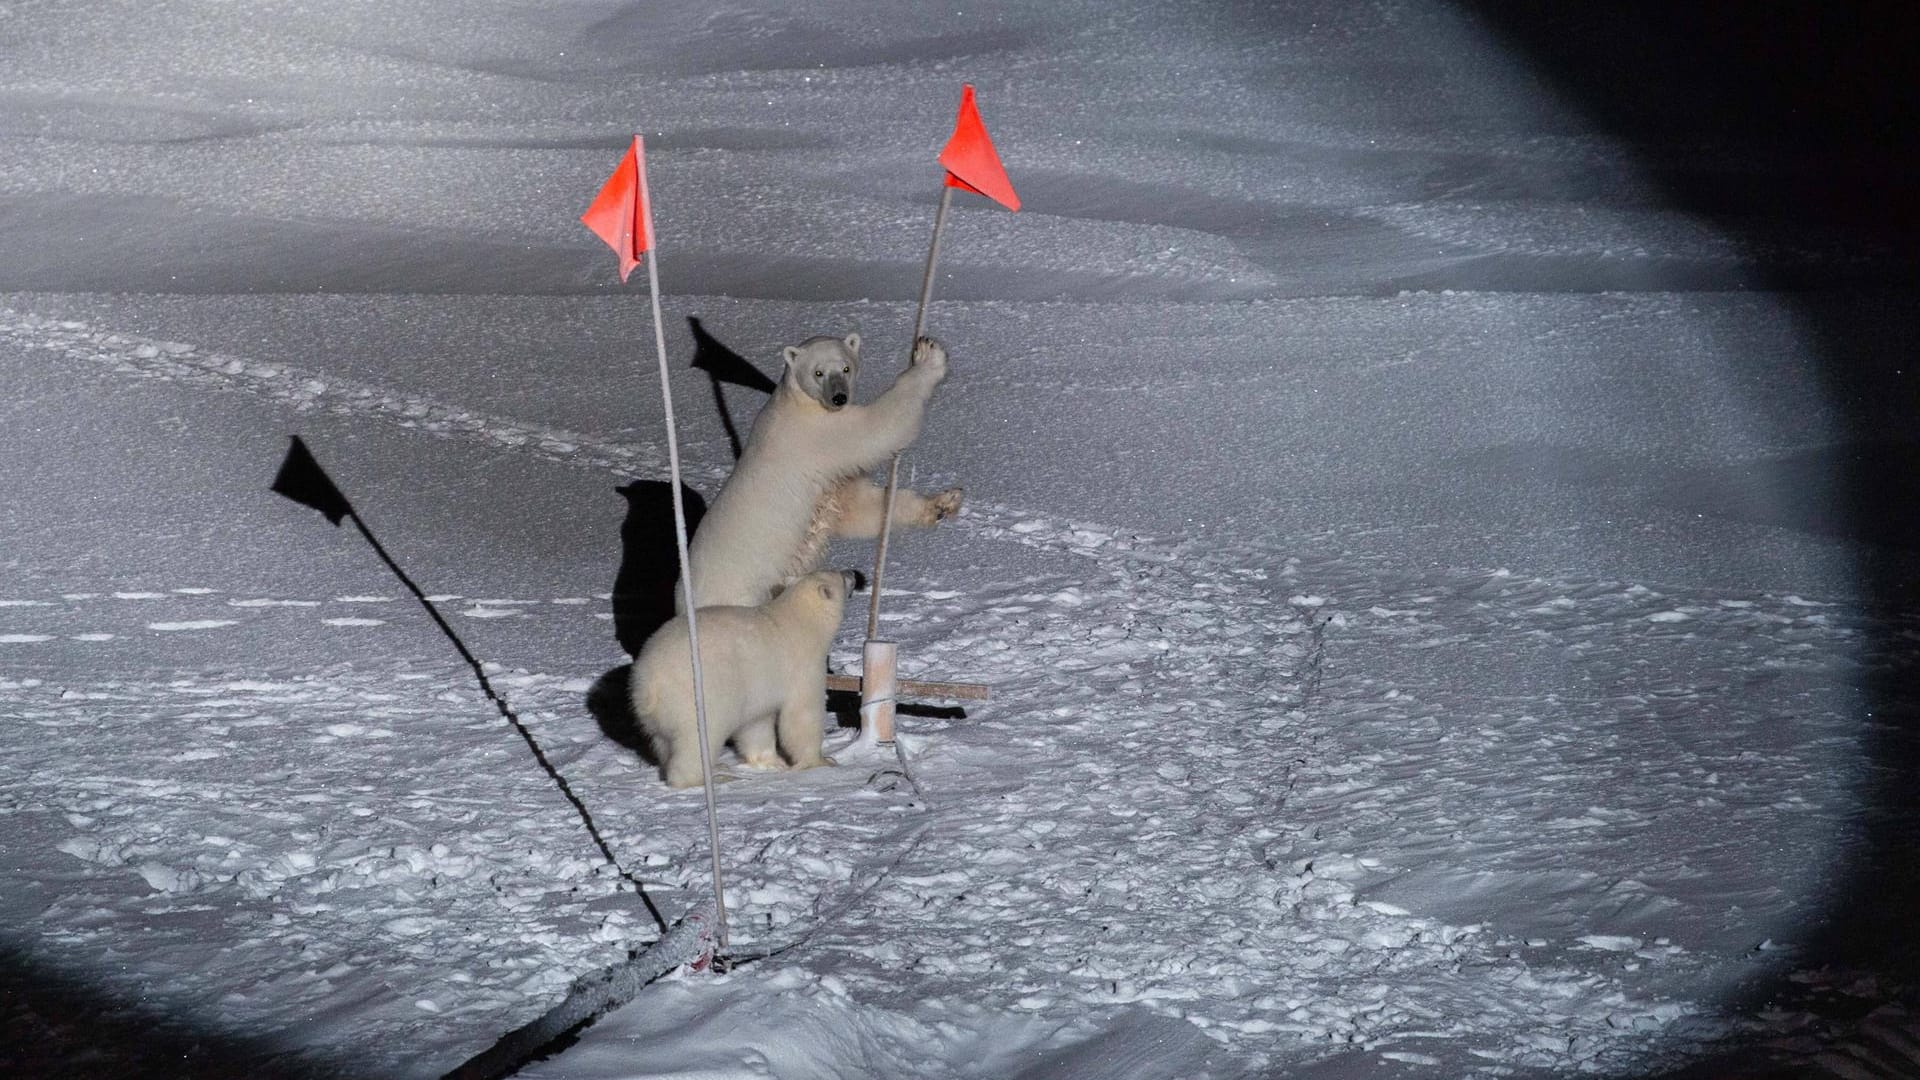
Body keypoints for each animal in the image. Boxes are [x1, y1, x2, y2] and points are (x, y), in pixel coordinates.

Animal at [629, 568, 856, 787]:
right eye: (840, 576)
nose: (853, 573)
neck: (799, 620)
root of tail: (648, 684)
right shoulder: (802, 667)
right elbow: (802, 716)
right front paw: (822, 762)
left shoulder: (758, 685)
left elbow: (756, 722)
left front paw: (772, 762)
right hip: (696, 700)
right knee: (695, 743)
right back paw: (710, 778)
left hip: (657, 717)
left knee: (663, 743)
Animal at [687, 332, 967, 611]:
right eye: (818, 372)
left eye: (846, 367)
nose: (839, 397)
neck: (797, 400)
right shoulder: (819, 432)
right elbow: (878, 427)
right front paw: (930, 355)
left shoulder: (832, 481)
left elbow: (861, 508)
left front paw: (944, 502)